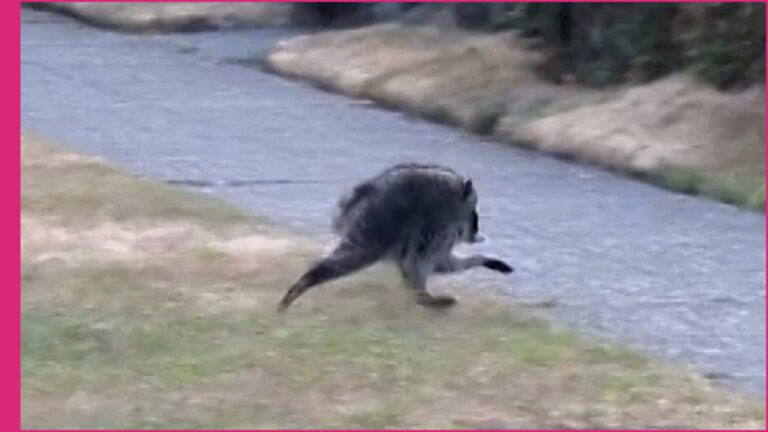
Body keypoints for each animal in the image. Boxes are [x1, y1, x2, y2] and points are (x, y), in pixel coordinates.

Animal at [278, 163, 513, 312]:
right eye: (474, 213)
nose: (476, 228)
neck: (456, 195)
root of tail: (362, 190)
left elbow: (443, 264)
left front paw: (484, 259)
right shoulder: (439, 222)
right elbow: (427, 260)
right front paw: (422, 295)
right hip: (380, 222)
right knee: (354, 256)